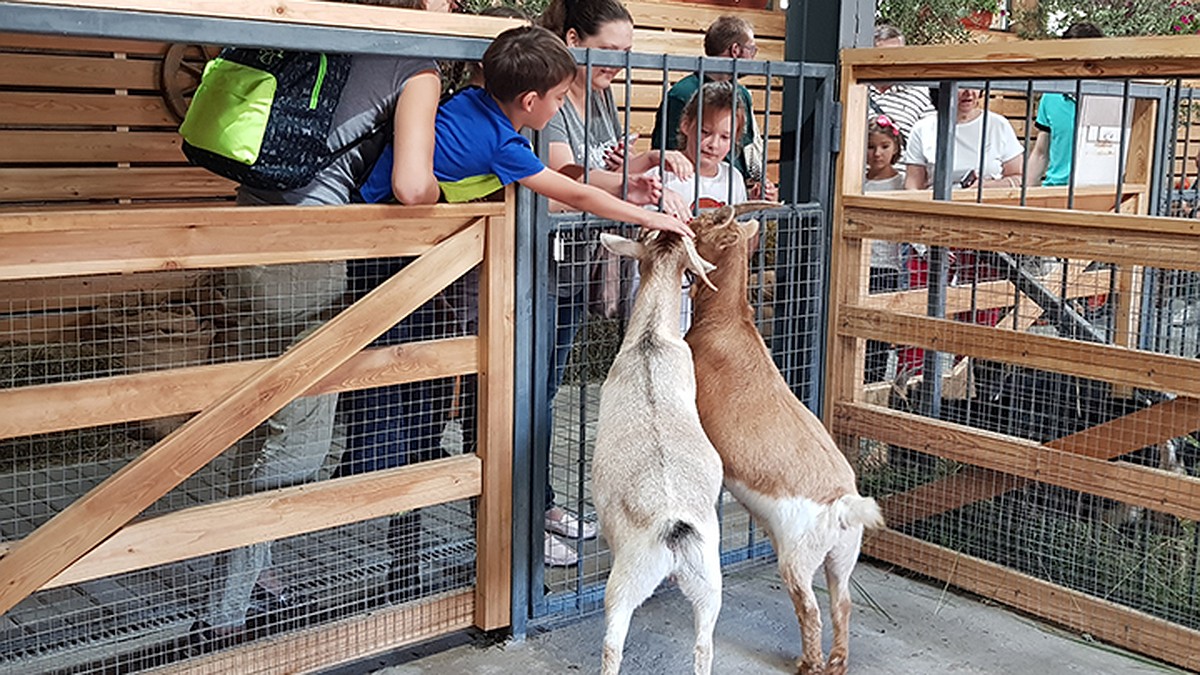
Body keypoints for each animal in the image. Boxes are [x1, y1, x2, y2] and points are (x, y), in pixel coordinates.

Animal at [590, 229, 720, 672]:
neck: (650, 341)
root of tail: (674, 528)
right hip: (708, 580)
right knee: (704, 645)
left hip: (627, 580)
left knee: (612, 644)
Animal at [681, 205, 888, 672]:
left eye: (709, 223)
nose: (690, 216)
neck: (727, 322)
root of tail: (842, 503)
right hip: (842, 556)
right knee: (842, 603)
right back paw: (836, 661)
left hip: (797, 556)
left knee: (810, 607)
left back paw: (808, 663)